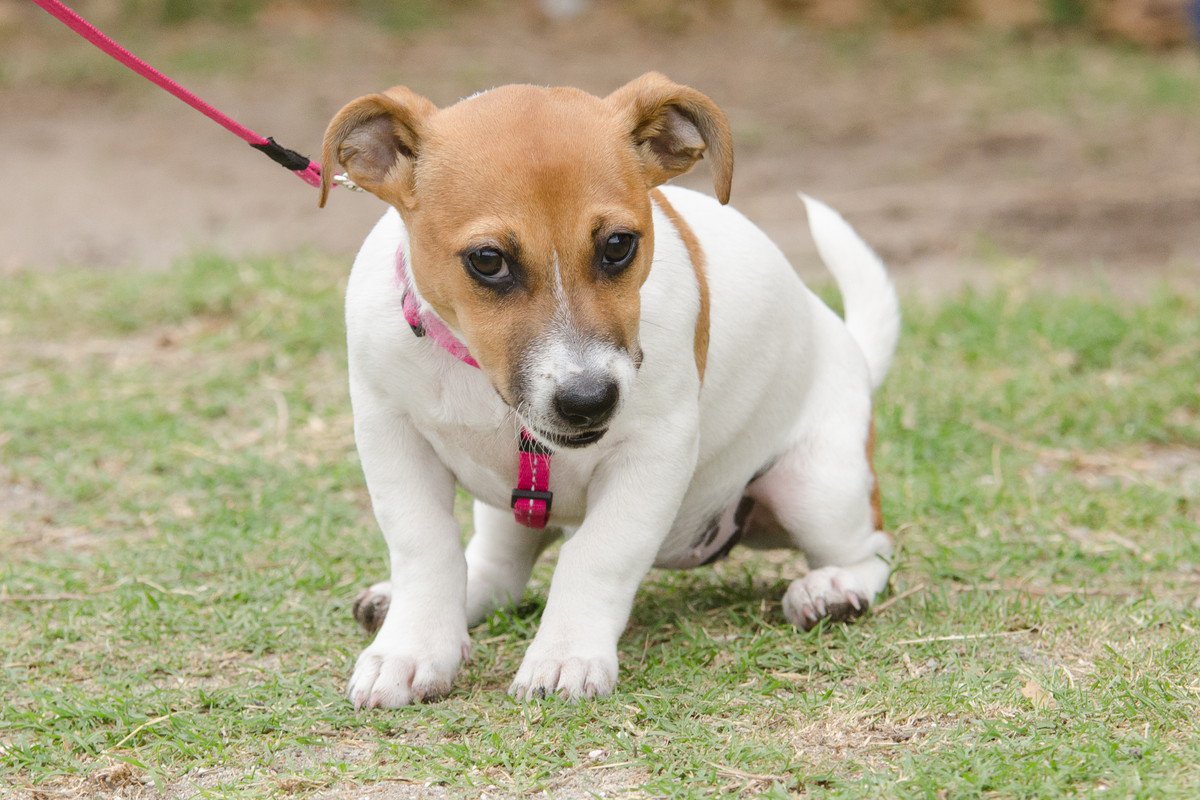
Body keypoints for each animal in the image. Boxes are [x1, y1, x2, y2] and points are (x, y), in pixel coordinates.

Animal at [319, 70, 902, 705]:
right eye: (487, 259)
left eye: (619, 245)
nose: (588, 400)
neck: (476, 374)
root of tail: (852, 351)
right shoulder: (391, 435)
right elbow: (425, 548)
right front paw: (411, 650)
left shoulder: (653, 454)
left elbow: (597, 556)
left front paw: (565, 656)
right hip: (507, 512)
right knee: (497, 570)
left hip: (816, 486)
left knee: (873, 550)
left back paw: (832, 590)